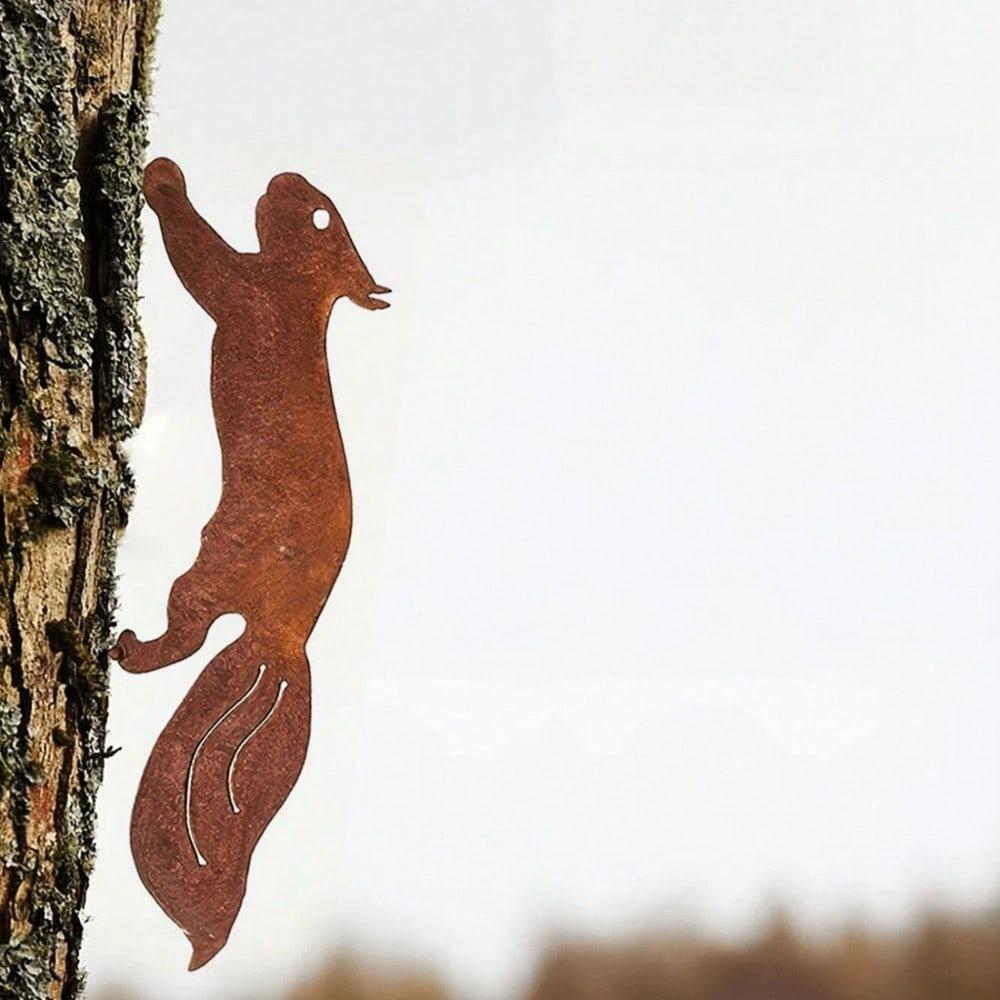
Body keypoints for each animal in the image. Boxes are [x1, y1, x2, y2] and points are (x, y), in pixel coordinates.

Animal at [109, 158, 389, 970]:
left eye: (322, 216)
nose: (283, 176)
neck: (302, 290)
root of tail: (284, 639)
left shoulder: (246, 290)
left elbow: (201, 258)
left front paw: (162, 181)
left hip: (209, 569)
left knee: (183, 636)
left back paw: (126, 647)